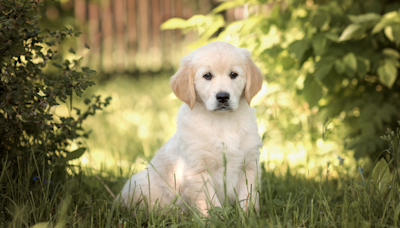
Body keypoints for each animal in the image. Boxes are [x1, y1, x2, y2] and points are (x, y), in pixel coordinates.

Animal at [118, 41, 262, 216]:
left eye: (233, 74)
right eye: (207, 76)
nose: (222, 97)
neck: (222, 122)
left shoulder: (249, 165)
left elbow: (247, 199)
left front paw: (248, 217)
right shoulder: (198, 171)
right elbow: (210, 205)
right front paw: (217, 219)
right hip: (139, 185)